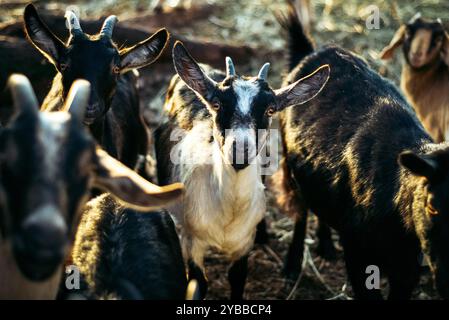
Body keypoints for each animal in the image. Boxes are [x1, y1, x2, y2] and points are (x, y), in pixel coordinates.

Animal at [154, 41, 328, 298]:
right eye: (217, 104)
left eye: (270, 109)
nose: (240, 150)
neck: (229, 213)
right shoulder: (192, 239)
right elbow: (198, 282)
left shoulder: (244, 243)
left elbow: (237, 278)